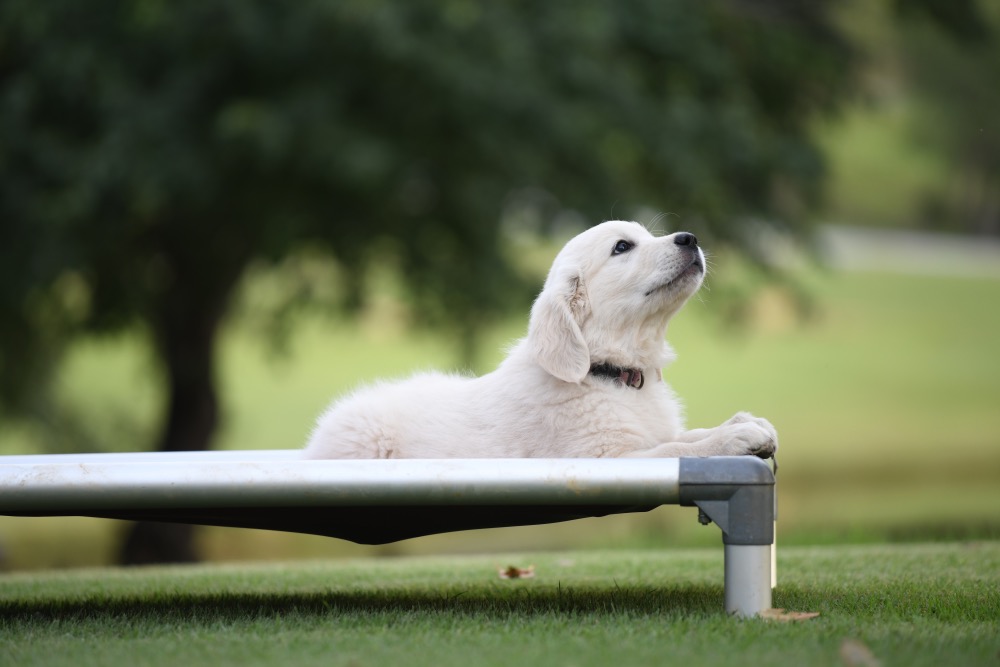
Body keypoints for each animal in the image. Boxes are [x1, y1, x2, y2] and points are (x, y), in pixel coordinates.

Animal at [300, 222, 776, 462]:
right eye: (622, 247)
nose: (690, 238)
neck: (606, 374)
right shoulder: (605, 457)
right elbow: (676, 448)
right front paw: (734, 439)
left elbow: (683, 434)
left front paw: (743, 423)